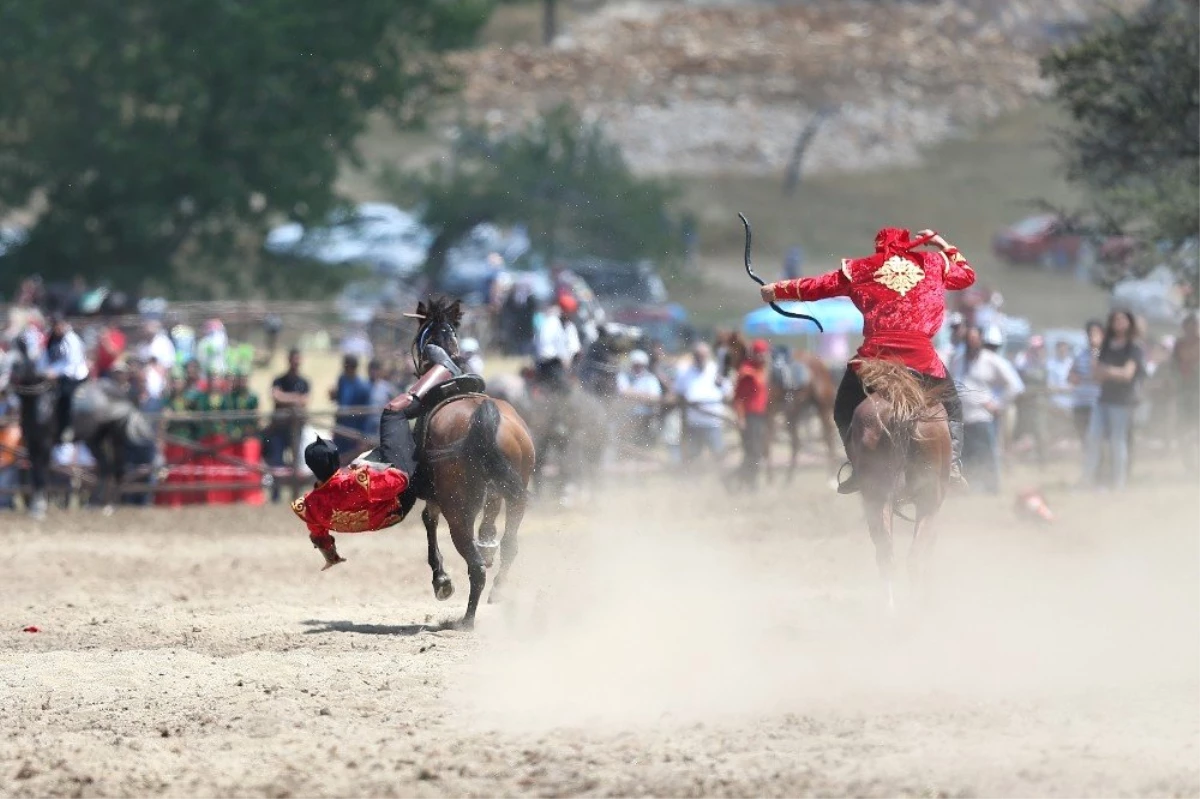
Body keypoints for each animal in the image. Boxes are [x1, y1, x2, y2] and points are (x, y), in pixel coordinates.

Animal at [408, 295, 535, 623]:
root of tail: (484, 415)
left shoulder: (435, 497)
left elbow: (428, 522)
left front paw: (441, 581)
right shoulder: (496, 490)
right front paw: (488, 541)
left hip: (458, 509)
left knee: (474, 564)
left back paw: (466, 619)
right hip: (515, 494)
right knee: (510, 545)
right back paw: (497, 589)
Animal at [715, 328, 840, 479]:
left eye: (727, 356)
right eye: (716, 351)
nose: (718, 381)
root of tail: (820, 364)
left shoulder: (769, 413)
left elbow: (765, 444)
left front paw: (769, 478)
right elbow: (755, 444)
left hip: (822, 407)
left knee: (828, 437)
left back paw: (831, 477)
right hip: (793, 411)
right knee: (796, 443)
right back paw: (788, 479)